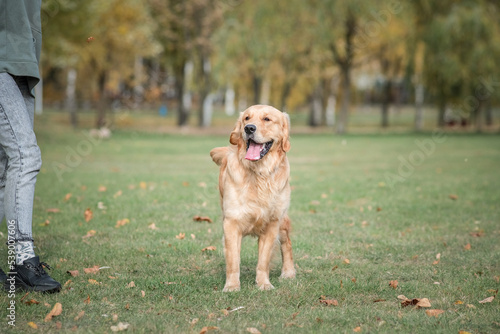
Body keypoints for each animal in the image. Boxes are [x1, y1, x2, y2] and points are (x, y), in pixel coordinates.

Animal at [209, 105, 294, 292]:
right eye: (247, 118)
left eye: (267, 119)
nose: (249, 128)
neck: (259, 173)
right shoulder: (231, 223)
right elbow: (233, 261)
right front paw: (232, 286)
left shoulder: (271, 224)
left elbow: (263, 261)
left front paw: (264, 283)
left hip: (282, 220)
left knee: (287, 244)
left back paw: (289, 272)